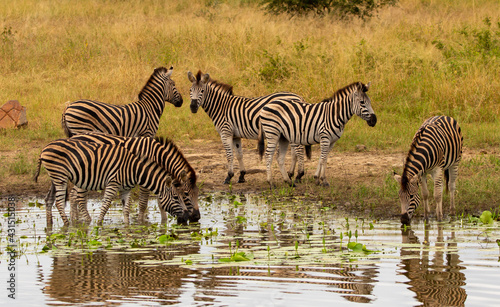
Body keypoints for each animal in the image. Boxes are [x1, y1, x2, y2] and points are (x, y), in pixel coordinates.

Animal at [33, 140, 189, 229]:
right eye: (176, 198)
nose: (187, 216)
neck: (134, 169)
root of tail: (44, 149)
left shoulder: (126, 189)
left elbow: (126, 210)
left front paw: (127, 228)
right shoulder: (113, 184)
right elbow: (105, 206)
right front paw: (99, 225)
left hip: (56, 178)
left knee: (49, 199)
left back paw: (50, 225)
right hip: (60, 178)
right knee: (59, 202)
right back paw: (67, 226)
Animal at [69, 132, 201, 224]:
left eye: (197, 194)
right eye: (186, 194)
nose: (197, 217)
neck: (157, 155)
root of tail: (74, 137)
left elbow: (160, 201)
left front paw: (163, 222)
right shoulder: (145, 176)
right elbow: (143, 203)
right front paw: (140, 222)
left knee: (72, 194)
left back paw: (74, 220)